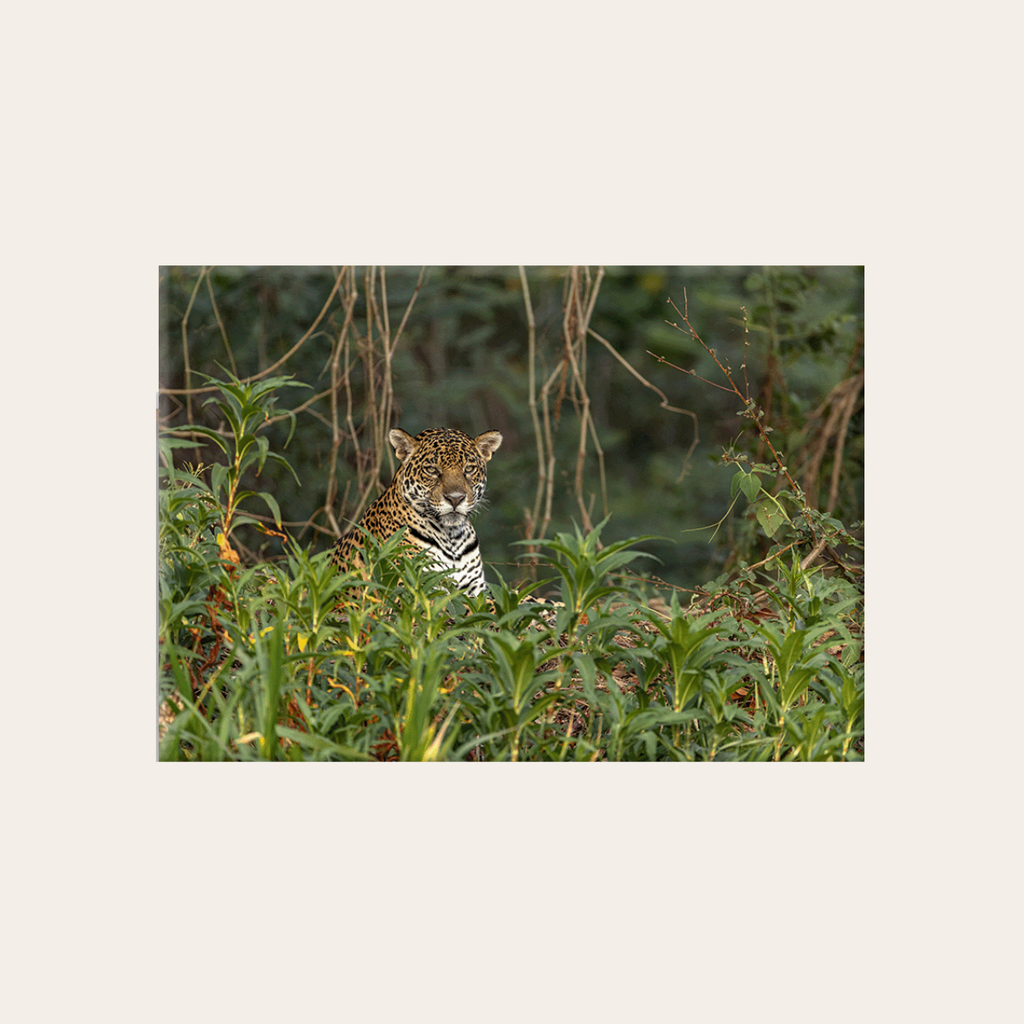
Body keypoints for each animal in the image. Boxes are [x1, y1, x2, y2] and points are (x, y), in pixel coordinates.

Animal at [332, 427, 503, 597]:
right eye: (432, 470)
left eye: (469, 469)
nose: (455, 499)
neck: (452, 538)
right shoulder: (412, 587)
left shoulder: (476, 589)